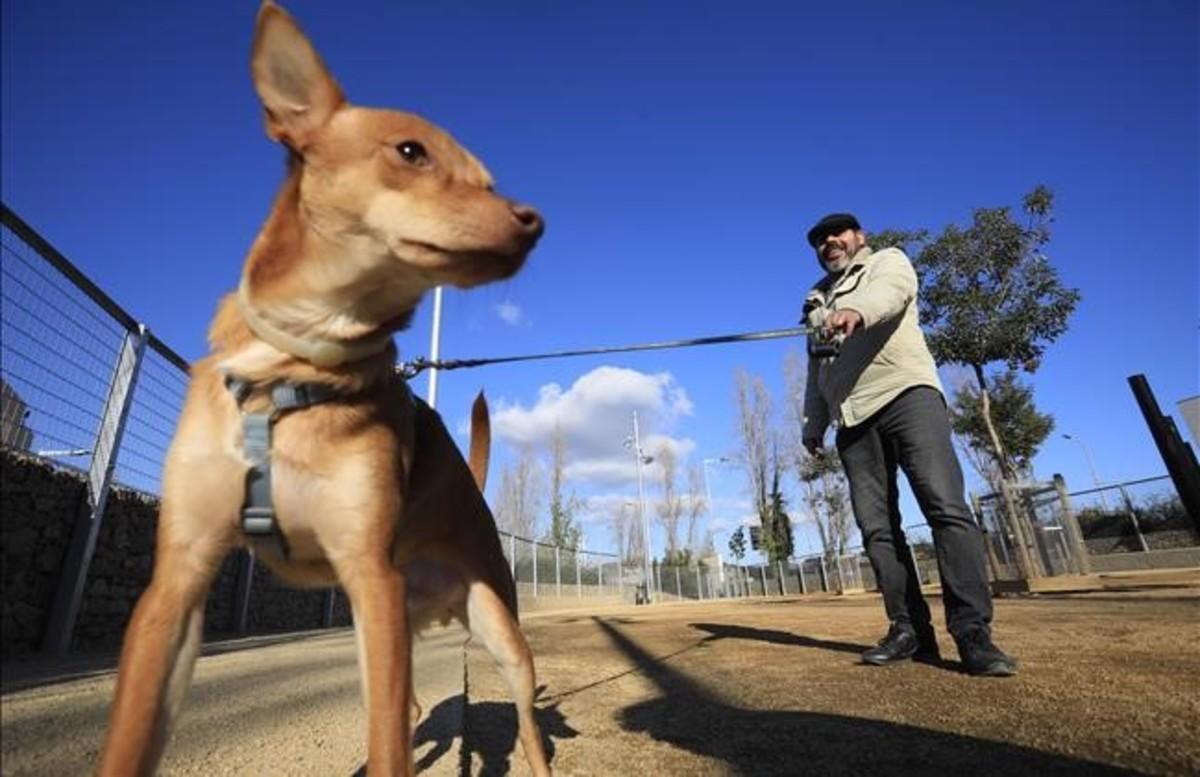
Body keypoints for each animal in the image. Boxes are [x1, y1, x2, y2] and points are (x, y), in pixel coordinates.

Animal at [97, 3, 549, 772]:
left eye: (489, 182)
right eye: (410, 152)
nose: (533, 220)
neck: (292, 368)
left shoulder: (370, 575)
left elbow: (393, 749)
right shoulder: (175, 585)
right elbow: (129, 741)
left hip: (491, 627)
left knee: (525, 724)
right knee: (410, 708)